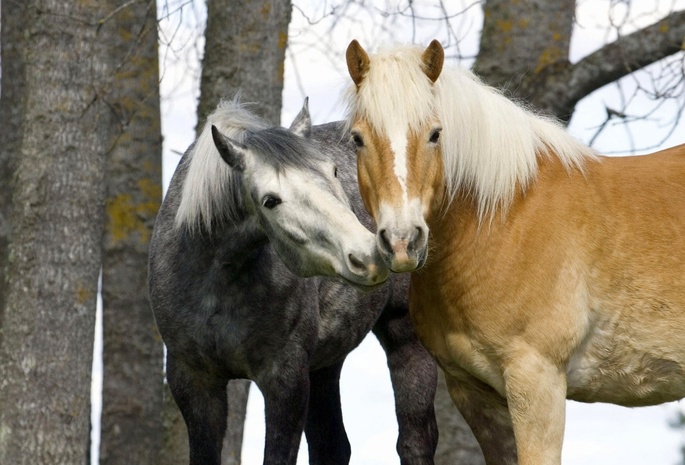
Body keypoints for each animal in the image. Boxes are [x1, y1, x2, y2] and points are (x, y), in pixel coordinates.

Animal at [344, 40, 684, 464]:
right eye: (357, 139)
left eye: (435, 134)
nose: (403, 240)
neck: (504, 219)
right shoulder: (475, 394)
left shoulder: (536, 381)